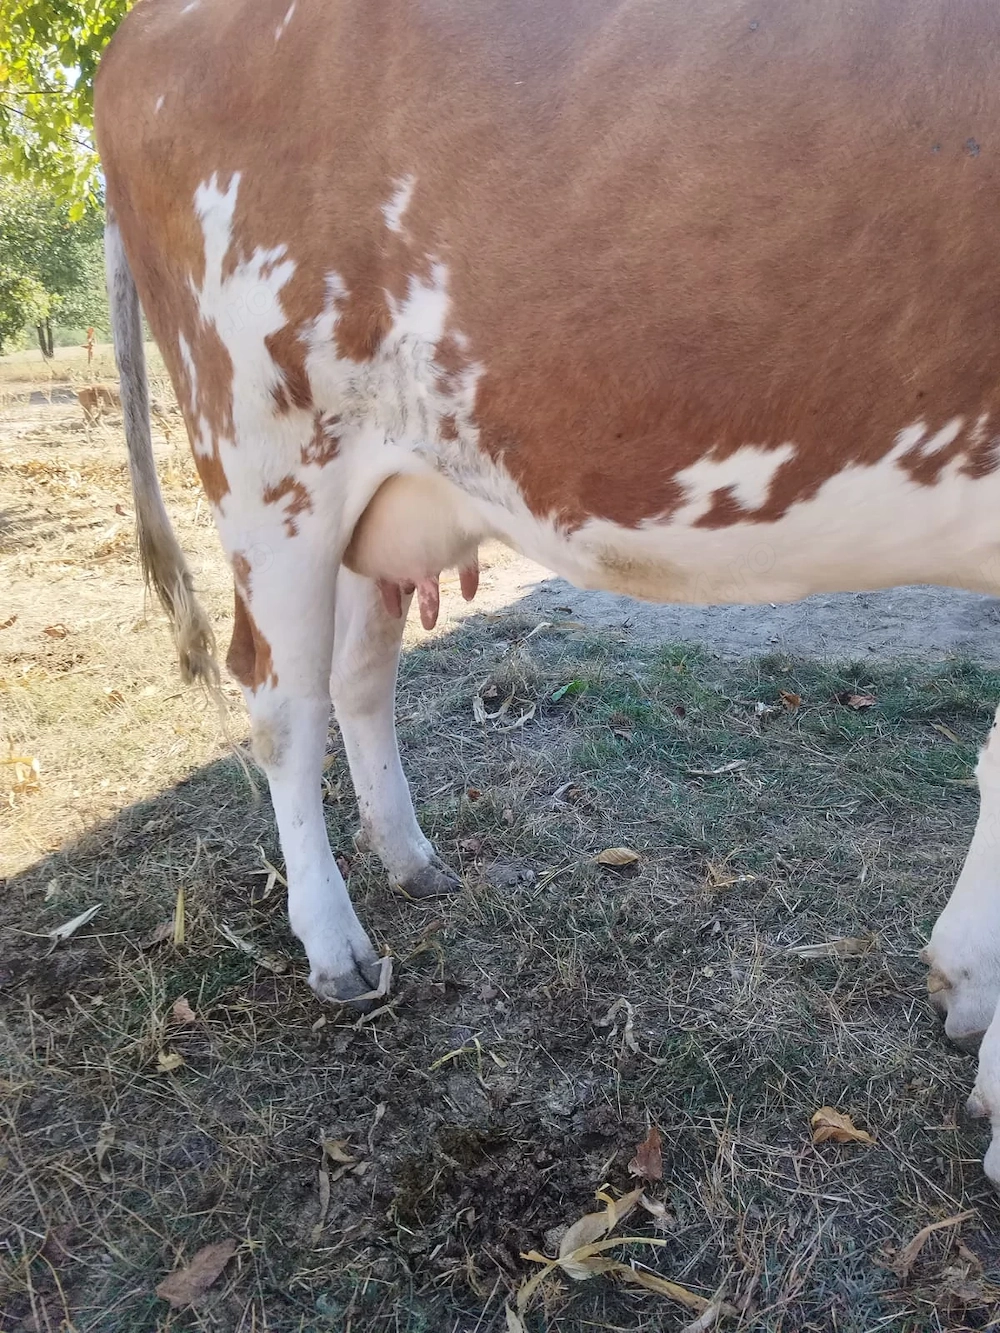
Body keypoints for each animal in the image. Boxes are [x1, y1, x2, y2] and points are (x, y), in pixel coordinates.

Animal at [94, 0, 1000, 1183]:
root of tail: (134, 38)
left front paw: (969, 993)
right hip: (264, 452)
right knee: (281, 703)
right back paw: (336, 946)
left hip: (378, 495)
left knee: (358, 676)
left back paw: (409, 860)